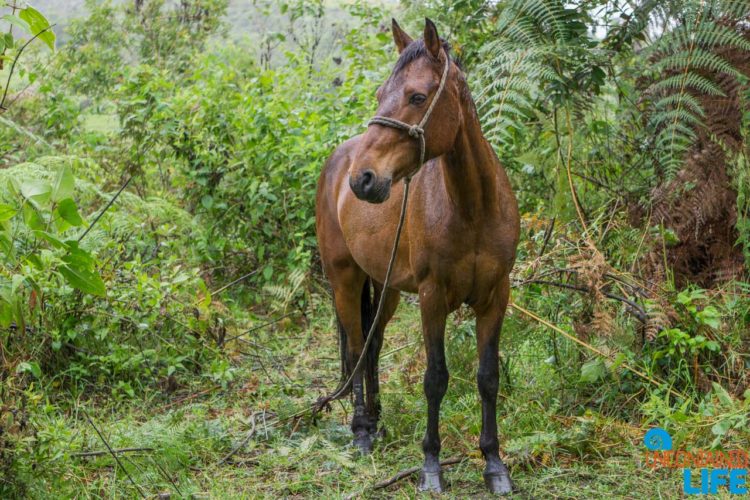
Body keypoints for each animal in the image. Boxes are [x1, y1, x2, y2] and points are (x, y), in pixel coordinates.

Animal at [314, 17, 520, 494]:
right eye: (379, 95)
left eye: (417, 97)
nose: (362, 180)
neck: (472, 207)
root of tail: (336, 162)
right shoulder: (432, 298)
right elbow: (436, 378)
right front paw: (430, 465)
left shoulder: (496, 296)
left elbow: (488, 377)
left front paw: (494, 464)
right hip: (344, 279)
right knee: (356, 347)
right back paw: (361, 431)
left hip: (385, 286)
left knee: (372, 345)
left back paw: (376, 421)